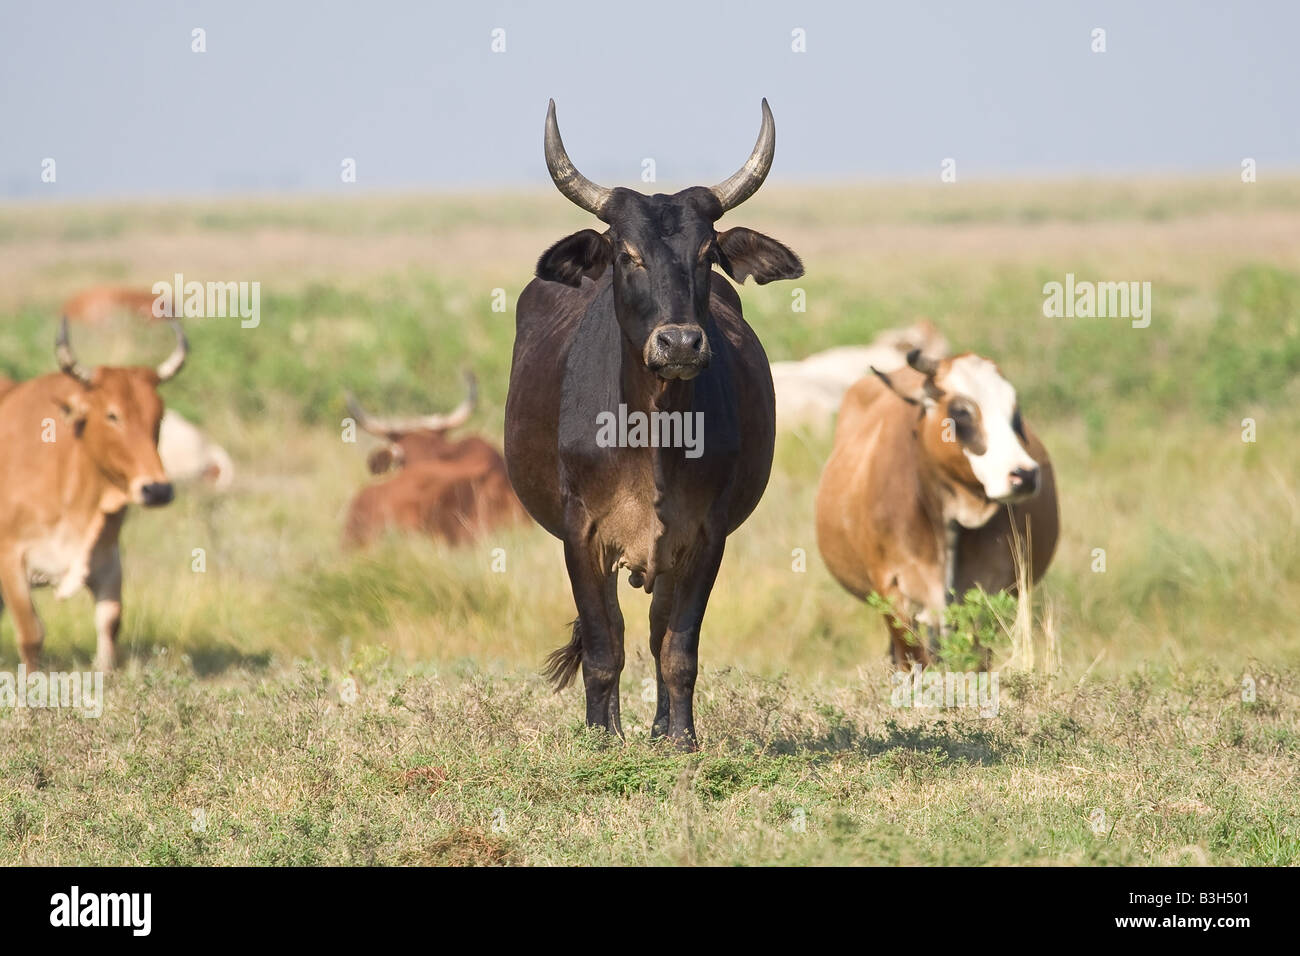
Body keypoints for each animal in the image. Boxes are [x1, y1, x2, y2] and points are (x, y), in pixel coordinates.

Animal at [0, 317, 188, 671]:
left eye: (158, 415)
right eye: (112, 414)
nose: (157, 489)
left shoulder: (108, 558)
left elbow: (109, 622)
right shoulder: (10, 559)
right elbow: (31, 634)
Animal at [504, 98, 800, 749]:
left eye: (706, 254)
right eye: (627, 254)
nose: (681, 342)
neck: (653, 435)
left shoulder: (705, 537)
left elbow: (677, 648)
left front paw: (681, 740)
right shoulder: (581, 536)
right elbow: (601, 648)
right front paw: (601, 739)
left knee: (657, 627)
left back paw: (662, 726)